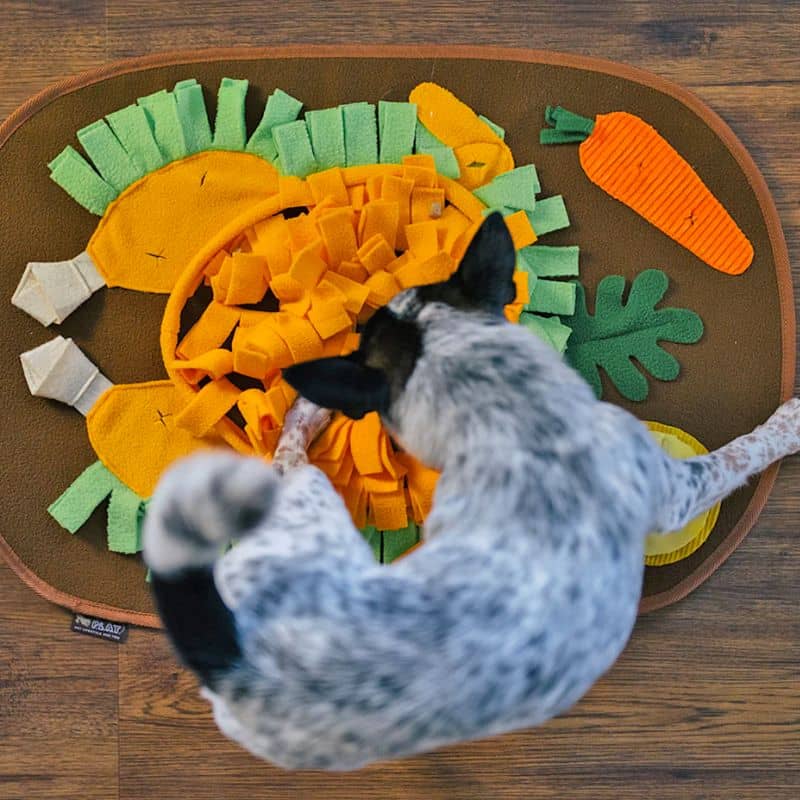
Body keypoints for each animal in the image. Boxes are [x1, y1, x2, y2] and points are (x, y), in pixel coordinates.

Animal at [144, 211, 800, 768]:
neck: (512, 416)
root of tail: (242, 663)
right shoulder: (674, 489)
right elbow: (739, 453)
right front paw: (787, 426)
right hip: (313, 503)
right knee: (288, 460)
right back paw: (307, 413)